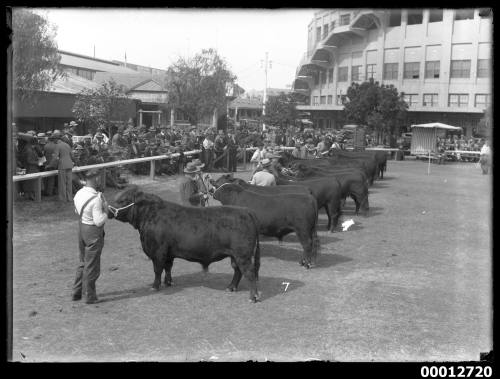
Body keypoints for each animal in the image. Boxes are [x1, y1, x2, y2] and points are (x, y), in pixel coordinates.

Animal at [107, 185, 260, 302]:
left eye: (123, 200)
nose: (107, 210)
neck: (150, 216)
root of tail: (245, 211)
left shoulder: (158, 251)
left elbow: (157, 269)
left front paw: (155, 286)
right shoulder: (168, 252)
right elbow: (168, 267)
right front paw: (168, 282)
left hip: (243, 255)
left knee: (249, 272)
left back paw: (253, 297)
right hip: (235, 255)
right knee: (237, 270)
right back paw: (231, 287)